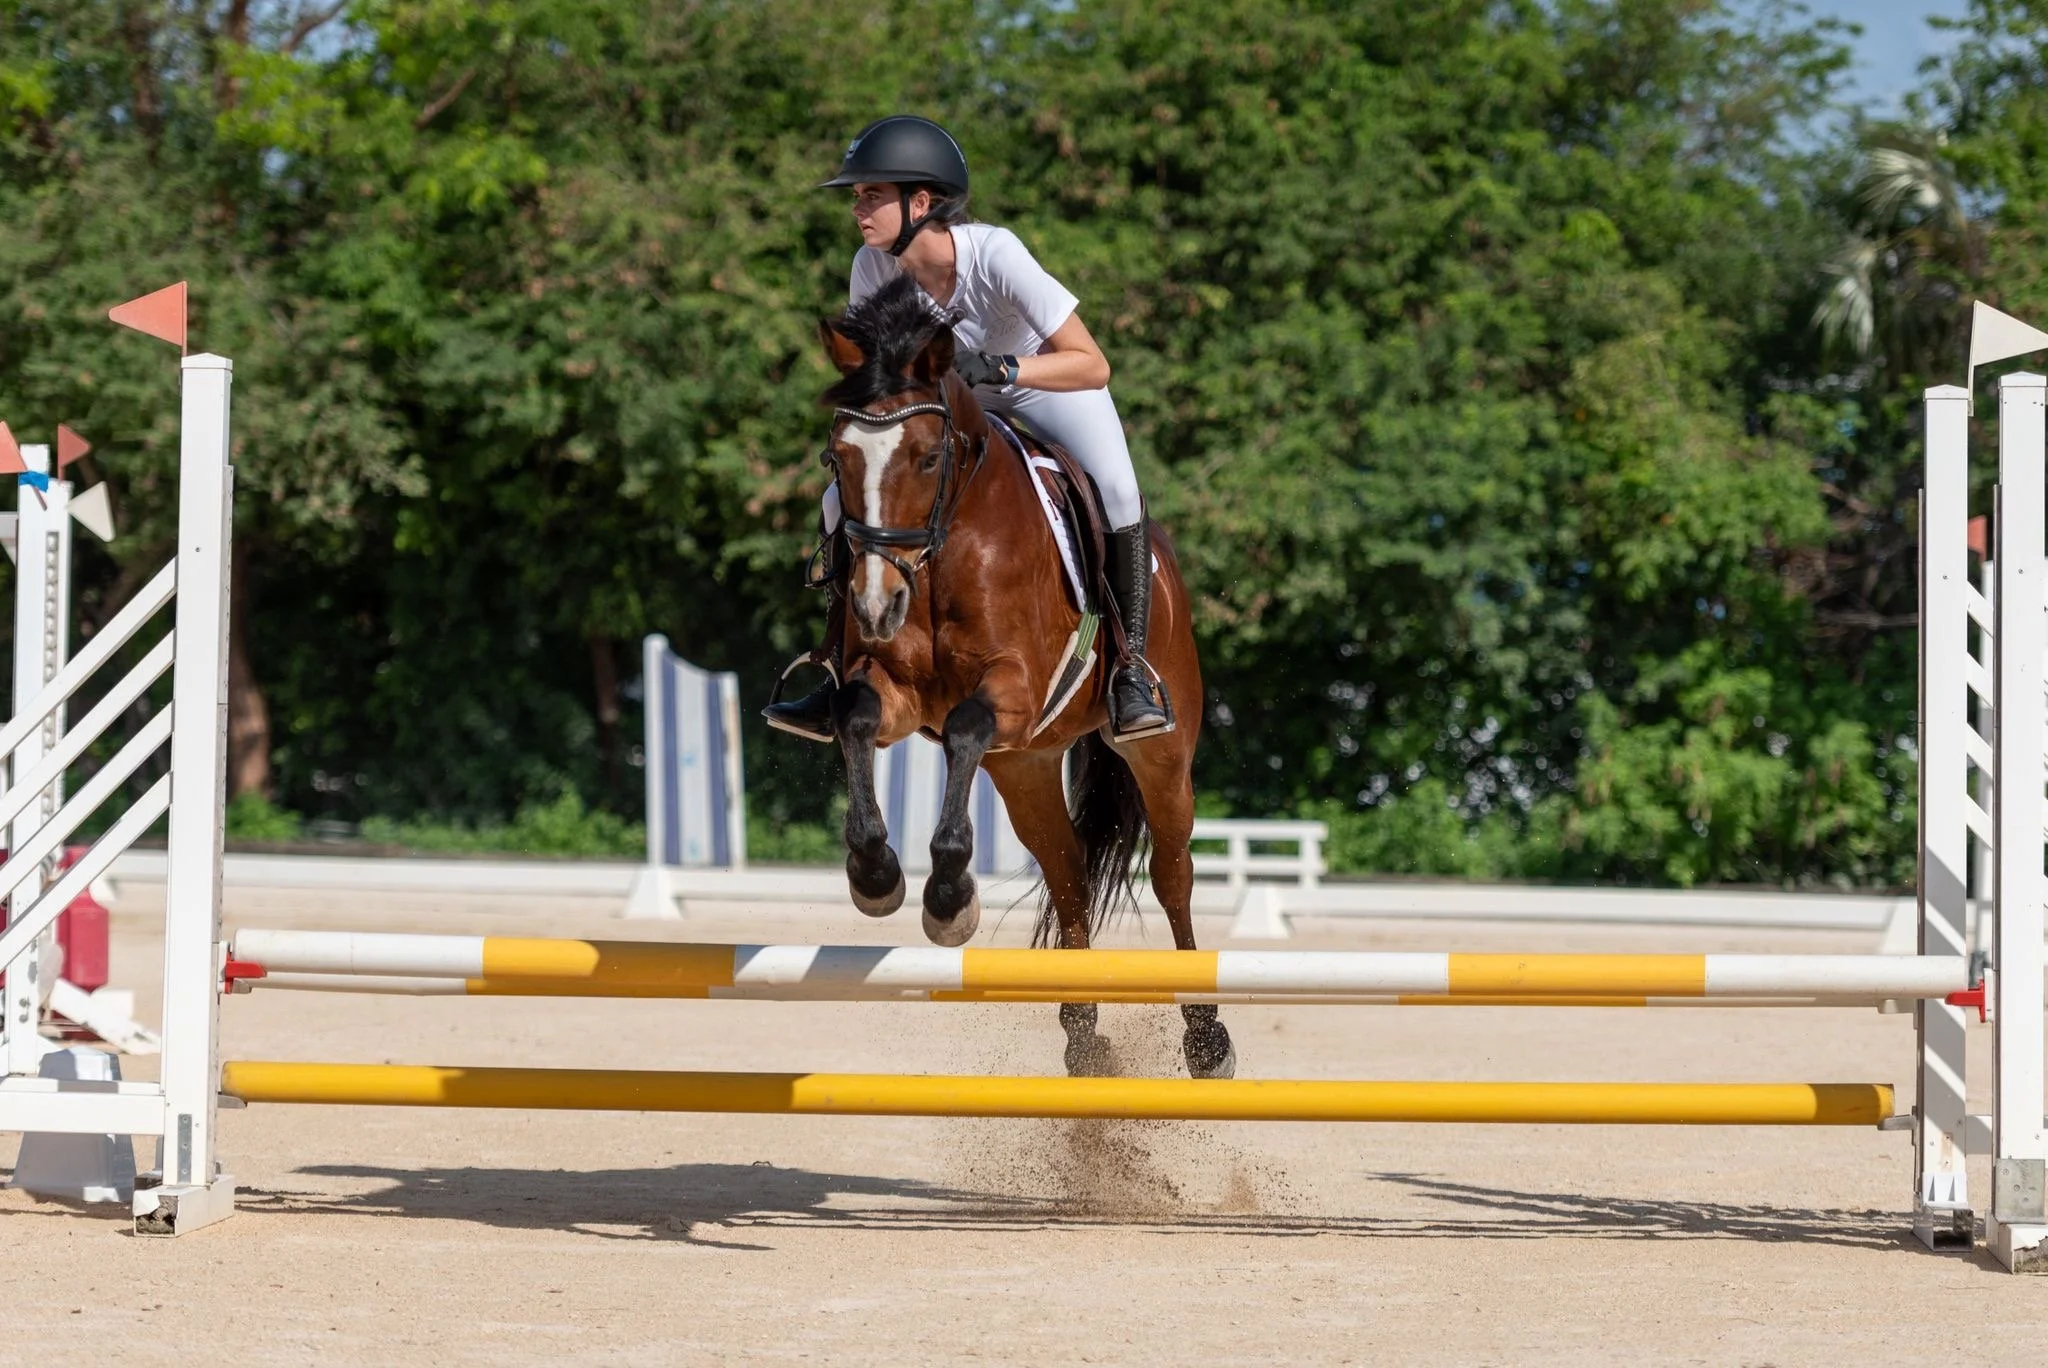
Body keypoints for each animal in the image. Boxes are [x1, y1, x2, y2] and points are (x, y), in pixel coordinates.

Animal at [812, 275, 1233, 1080]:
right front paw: (876, 876)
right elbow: (854, 714)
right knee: (1067, 874)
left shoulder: (1014, 687)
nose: (876, 605)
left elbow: (966, 725)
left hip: (1160, 752)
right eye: (837, 459)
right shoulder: (895, 689)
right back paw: (1083, 1036)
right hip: (1026, 765)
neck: (943, 547)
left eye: (926, 456)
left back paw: (1207, 1039)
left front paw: (948, 900)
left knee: (1172, 872)